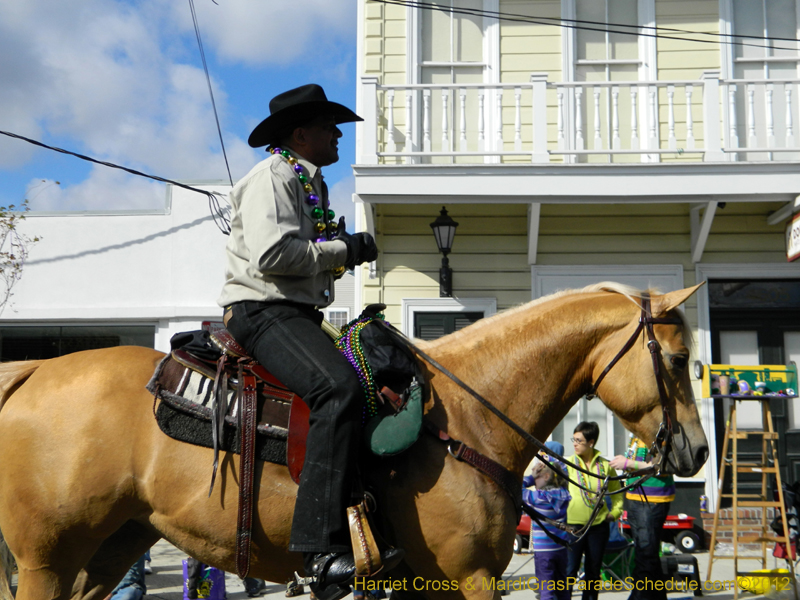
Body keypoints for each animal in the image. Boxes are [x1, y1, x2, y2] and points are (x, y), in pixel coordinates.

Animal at [0, 284, 708, 600]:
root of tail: (32, 371)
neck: (468, 417)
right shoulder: (470, 576)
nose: (697, 453)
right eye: (677, 360)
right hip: (47, 561)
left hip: (110, 549)